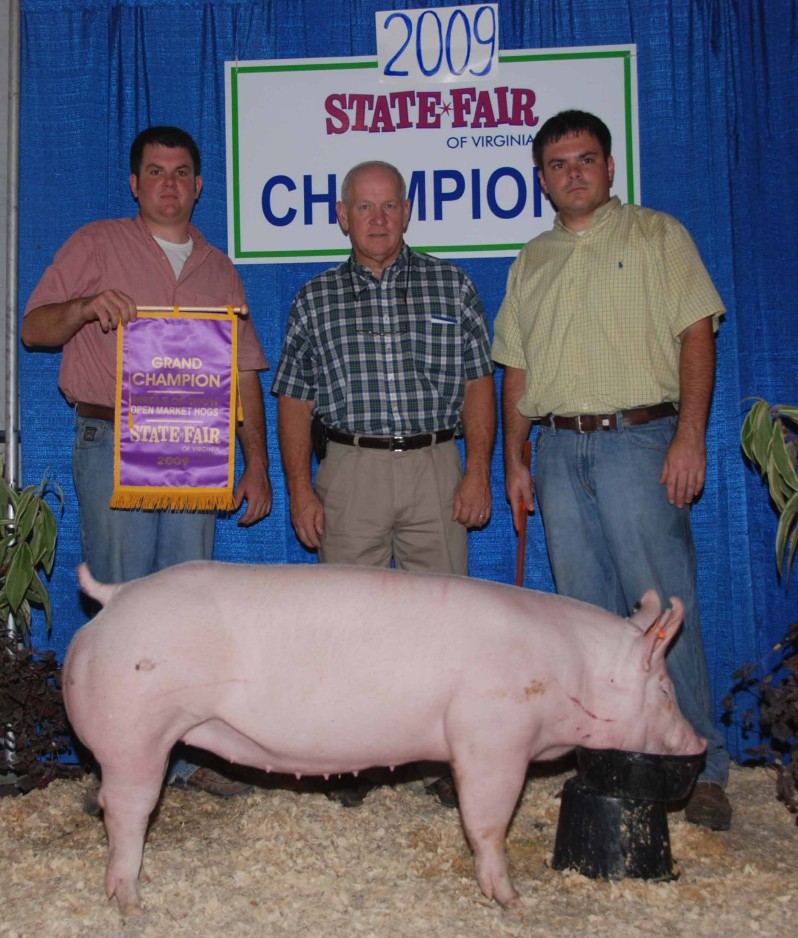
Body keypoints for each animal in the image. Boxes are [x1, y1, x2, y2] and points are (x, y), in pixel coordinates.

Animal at [62, 560, 708, 912]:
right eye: (665, 690)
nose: (698, 745)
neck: (571, 671)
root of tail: (115, 596)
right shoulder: (491, 731)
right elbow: (487, 820)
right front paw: (511, 900)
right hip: (135, 731)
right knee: (126, 809)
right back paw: (130, 902)